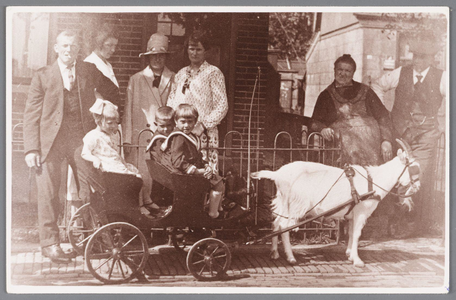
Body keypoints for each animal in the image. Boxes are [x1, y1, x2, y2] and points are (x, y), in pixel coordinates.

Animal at [251, 139, 422, 268]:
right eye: (414, 168)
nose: (419, 187)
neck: (373, 180)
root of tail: (278, 174)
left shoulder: (352, 214)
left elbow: (351, 233)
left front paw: (350, 255)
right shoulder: (361, 212)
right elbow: (357, 234)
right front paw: (358, 261)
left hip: (282, 201)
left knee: (276, 222)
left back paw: (274, 253)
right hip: (296, 205)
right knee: (284, 226)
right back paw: (290, 258)